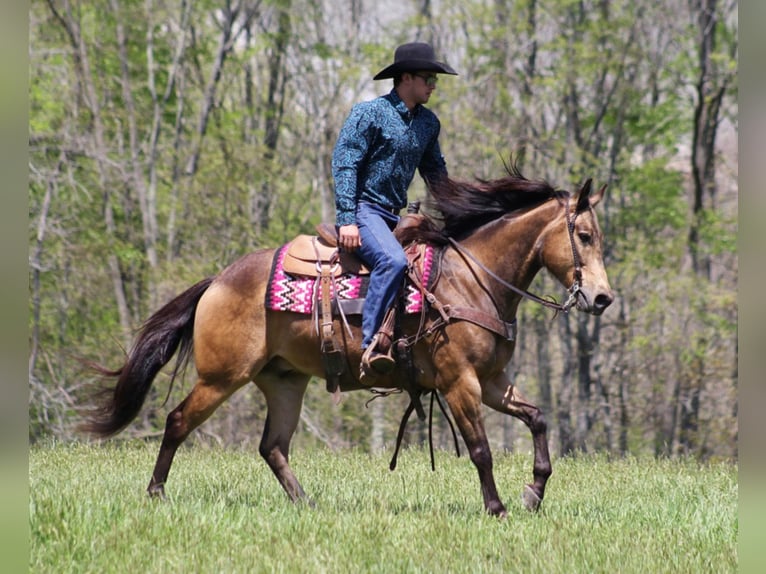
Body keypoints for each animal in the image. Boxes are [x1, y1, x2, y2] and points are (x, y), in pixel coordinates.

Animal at [84, 164, 616, 520]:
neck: (471, 280)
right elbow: (481, 447)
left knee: (272, 446)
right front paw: (498, 507)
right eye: (584, 235)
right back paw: (156, 494)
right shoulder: (459, 382)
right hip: (222, 377)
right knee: (178, 422)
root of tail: (217, 281)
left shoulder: (492, 381)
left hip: (284, 382)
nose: (602, 297)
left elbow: (538, 419)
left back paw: (307, 504)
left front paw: (534, 491)